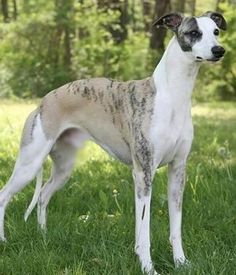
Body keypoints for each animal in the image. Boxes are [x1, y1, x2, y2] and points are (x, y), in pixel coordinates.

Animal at [0, 11, 227, 275]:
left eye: (216, 31)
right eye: (193, 33)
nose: (219, 50)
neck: (172, 96)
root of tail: (43, 101)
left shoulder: (178, 170)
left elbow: (175, 227)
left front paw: (181, 262)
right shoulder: (143, 173)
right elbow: (144, 230)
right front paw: (148, 267)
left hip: (63, 167)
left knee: (44, 195)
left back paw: (43, 235)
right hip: (29, 162)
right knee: (4, 195)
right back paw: (4, 240)